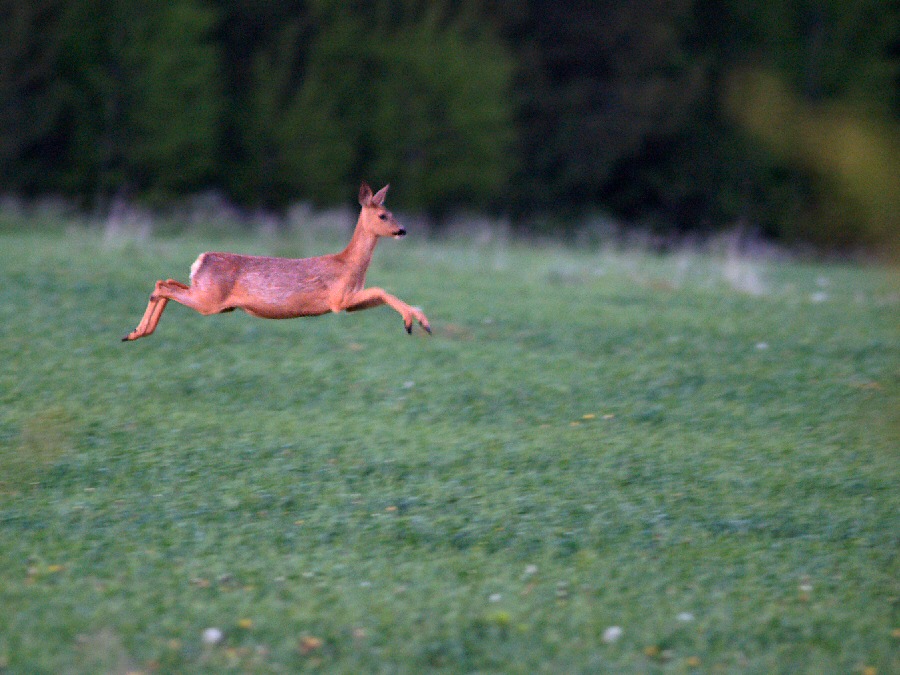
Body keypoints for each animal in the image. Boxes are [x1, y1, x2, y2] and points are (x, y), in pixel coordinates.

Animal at [122, 184, 428, 344]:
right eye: (383, 215)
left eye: (391, 212)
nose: (403, 230)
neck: (349, 264)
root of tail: (200, 260)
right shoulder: (338, 299)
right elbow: (381, 290)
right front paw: (414, 322)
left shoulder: (349, 302)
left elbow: (381, 294)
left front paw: (419, 320)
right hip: (208, 300)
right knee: (163, 286)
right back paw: (138, 332)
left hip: (206, 294)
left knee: (167, 281)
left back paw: (134, 332)